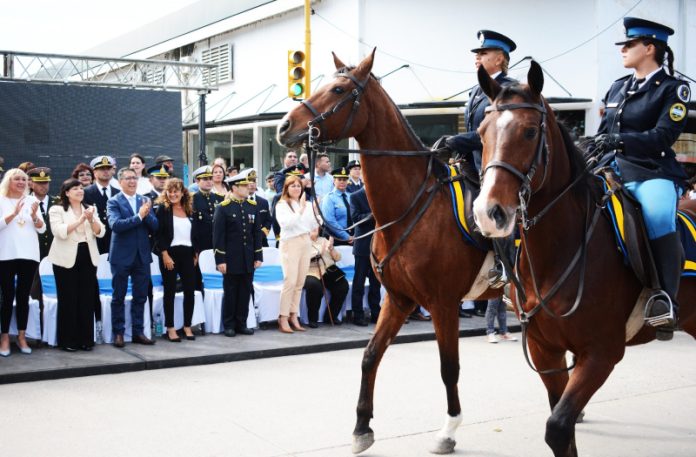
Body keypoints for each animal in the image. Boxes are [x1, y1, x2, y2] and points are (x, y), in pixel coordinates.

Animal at [276, 50, 500, 452]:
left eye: (338, 89)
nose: (284, 127)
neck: (411, 206)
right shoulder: (397, 298)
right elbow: (370, 356)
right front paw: (361, 427)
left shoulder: (442, 303)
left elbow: (448, 367)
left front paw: (448, 429)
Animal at [470, 60, 692, 456]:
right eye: (481, 131)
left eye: (529, 132)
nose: (488, 213)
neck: (559, 255)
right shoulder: (546, 351)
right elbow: (562, 423)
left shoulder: (602, 353)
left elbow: (558, 426)